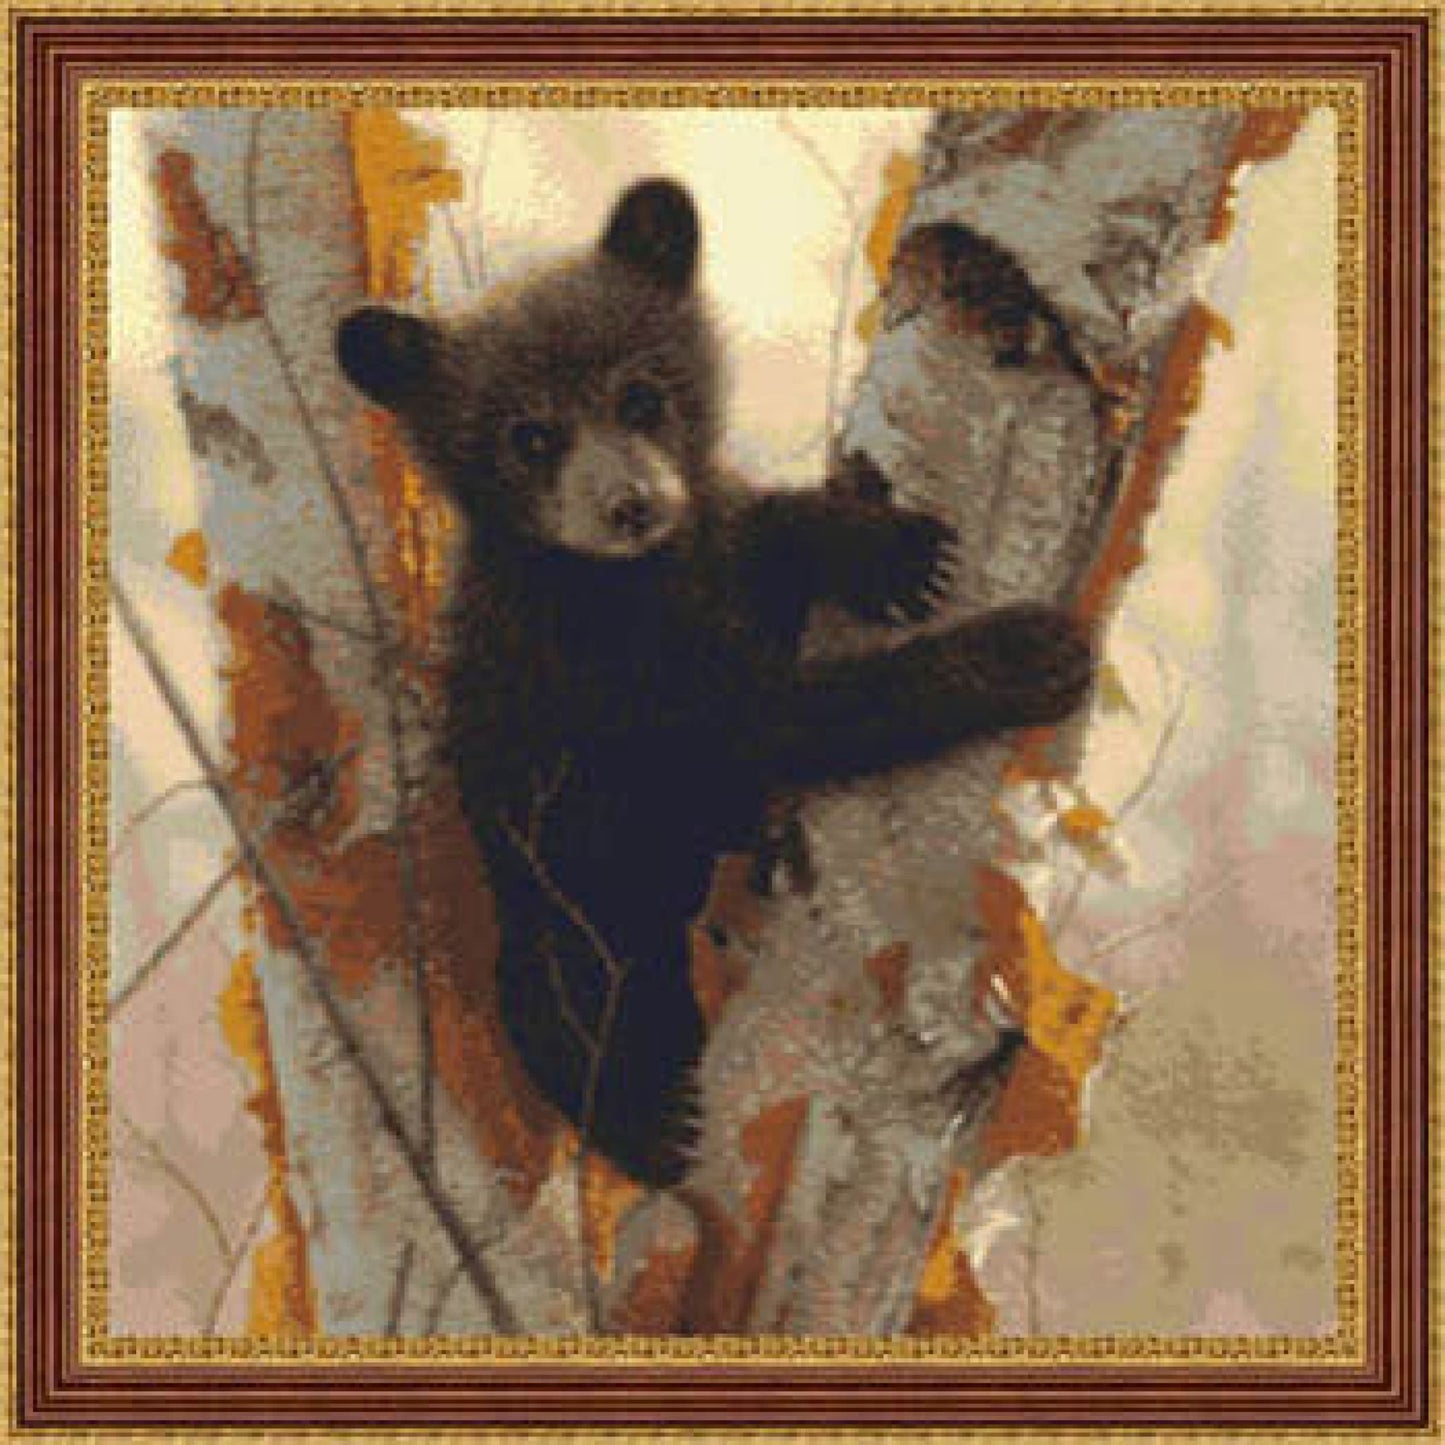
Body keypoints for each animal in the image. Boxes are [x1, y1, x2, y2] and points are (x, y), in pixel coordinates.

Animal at [335, 178, 1093, 1187]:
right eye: (528, 435)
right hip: (564, 894)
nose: (628, 504)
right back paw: (646, 1118)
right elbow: (762, 719)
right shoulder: (595, 670)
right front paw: (1023, 653)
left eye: (640, 394)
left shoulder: (712, 547)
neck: (634, 580)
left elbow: (770, 525)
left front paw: (890, 549)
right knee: (558, 1000)